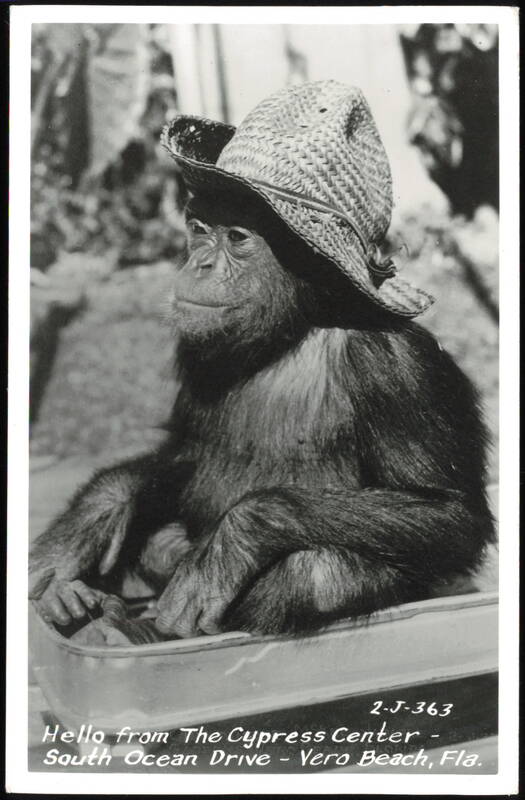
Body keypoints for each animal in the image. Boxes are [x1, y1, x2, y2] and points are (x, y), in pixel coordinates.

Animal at [28, 186, 495, 640]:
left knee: (314, 574)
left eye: (237, 238)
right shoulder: (194, 346)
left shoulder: (399, 365)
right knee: (159, 541)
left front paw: (233, 542)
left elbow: (451, 513)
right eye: (199, 229)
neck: (290, 331)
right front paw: (90, 521)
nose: (200, 262)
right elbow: (184, 450)